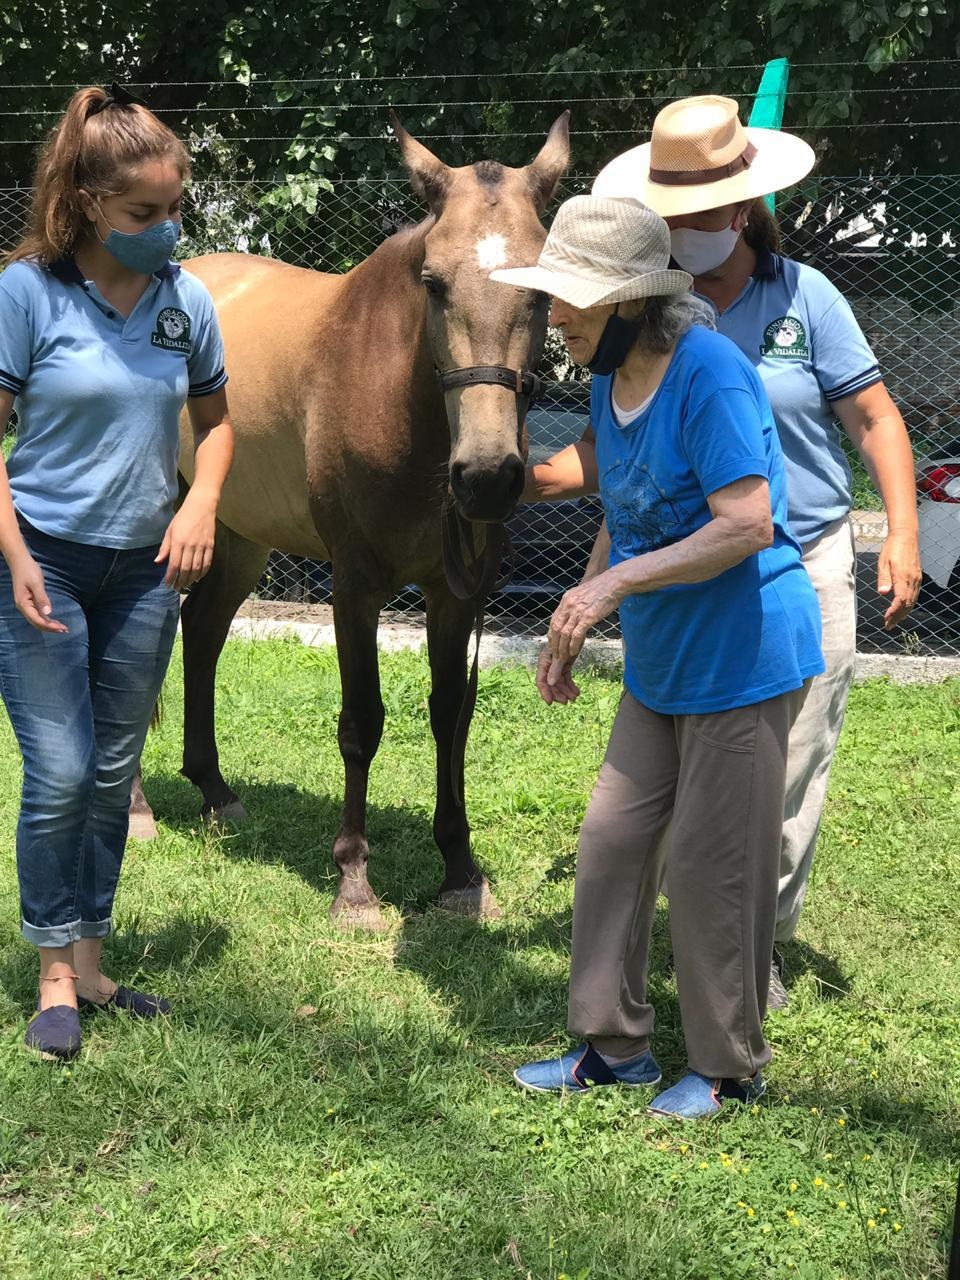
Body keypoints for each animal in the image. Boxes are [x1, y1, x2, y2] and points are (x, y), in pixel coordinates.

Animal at [131, 115, 571, 931]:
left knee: (202, 632)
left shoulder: (456, 591)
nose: (486, 476)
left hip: (238, 537)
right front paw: (355, 881)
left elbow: (449, 714)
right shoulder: (356, 585)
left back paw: (215, 791)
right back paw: (140, 808)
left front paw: (459, 870)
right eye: (433, 283)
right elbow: (362, 721)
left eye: (542, 290)